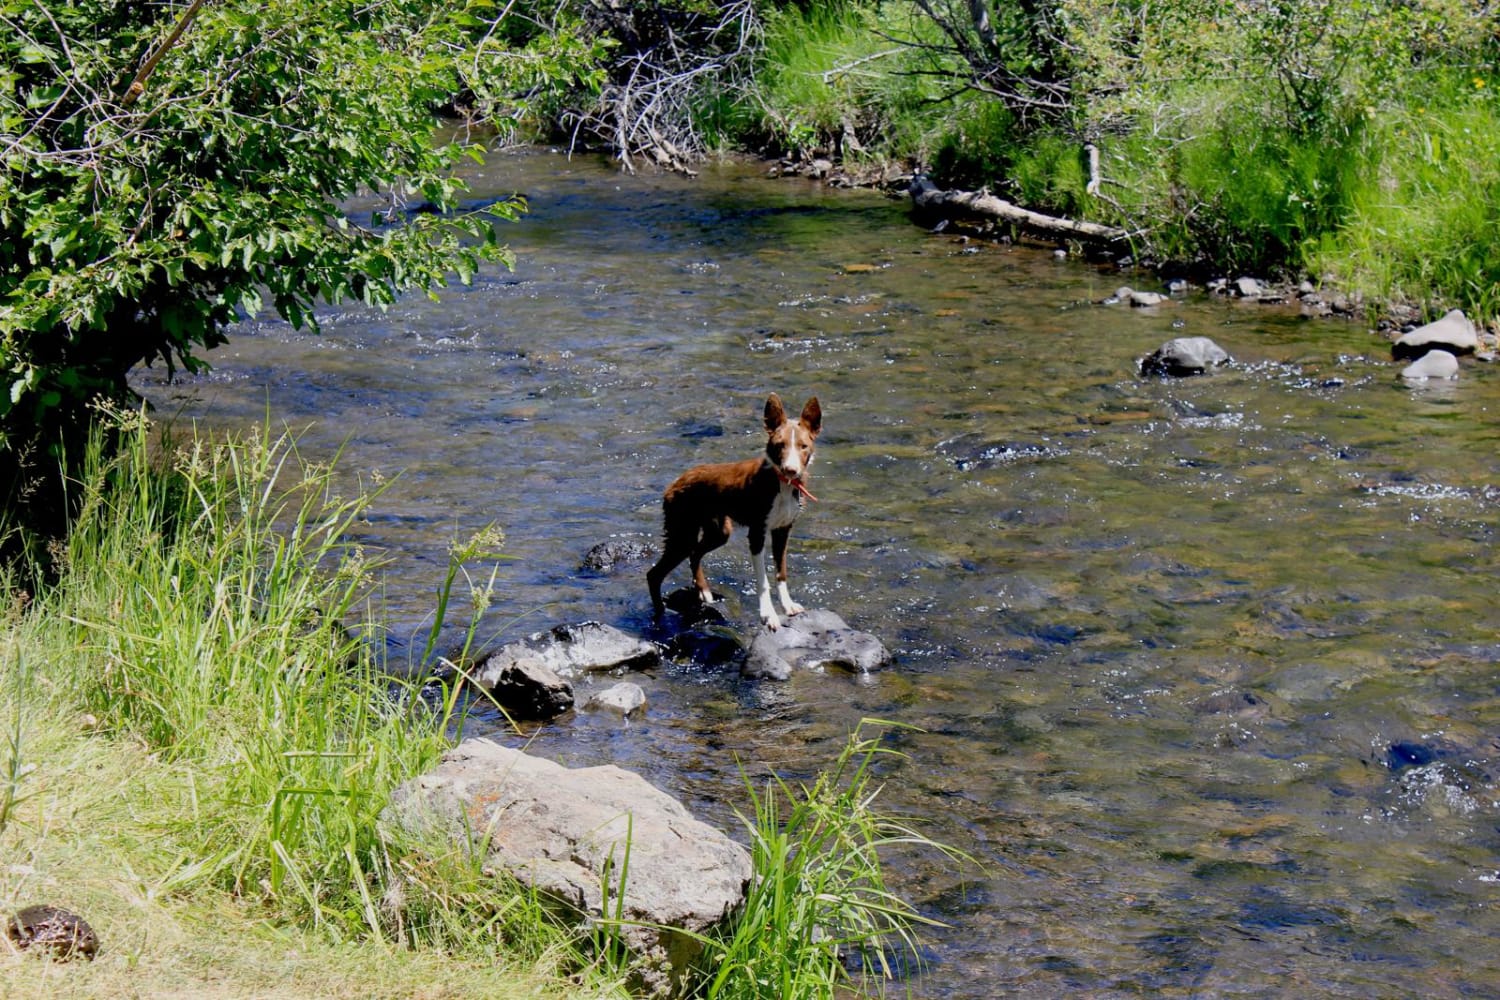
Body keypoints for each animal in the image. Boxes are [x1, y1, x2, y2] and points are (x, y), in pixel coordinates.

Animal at [648, 395, 828, 629]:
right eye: (780, 445)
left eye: (803, 446)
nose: (791, 470)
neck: (782, 484)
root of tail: (674, 483)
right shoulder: (757, 533)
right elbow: (763, 581)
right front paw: (768, 615)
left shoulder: (783, 529)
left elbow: (781, 573)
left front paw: (787, 605)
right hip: (682, 535)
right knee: (654, 574)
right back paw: (660, 615)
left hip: (719, 532)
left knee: (695, 554)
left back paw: (703, 592)